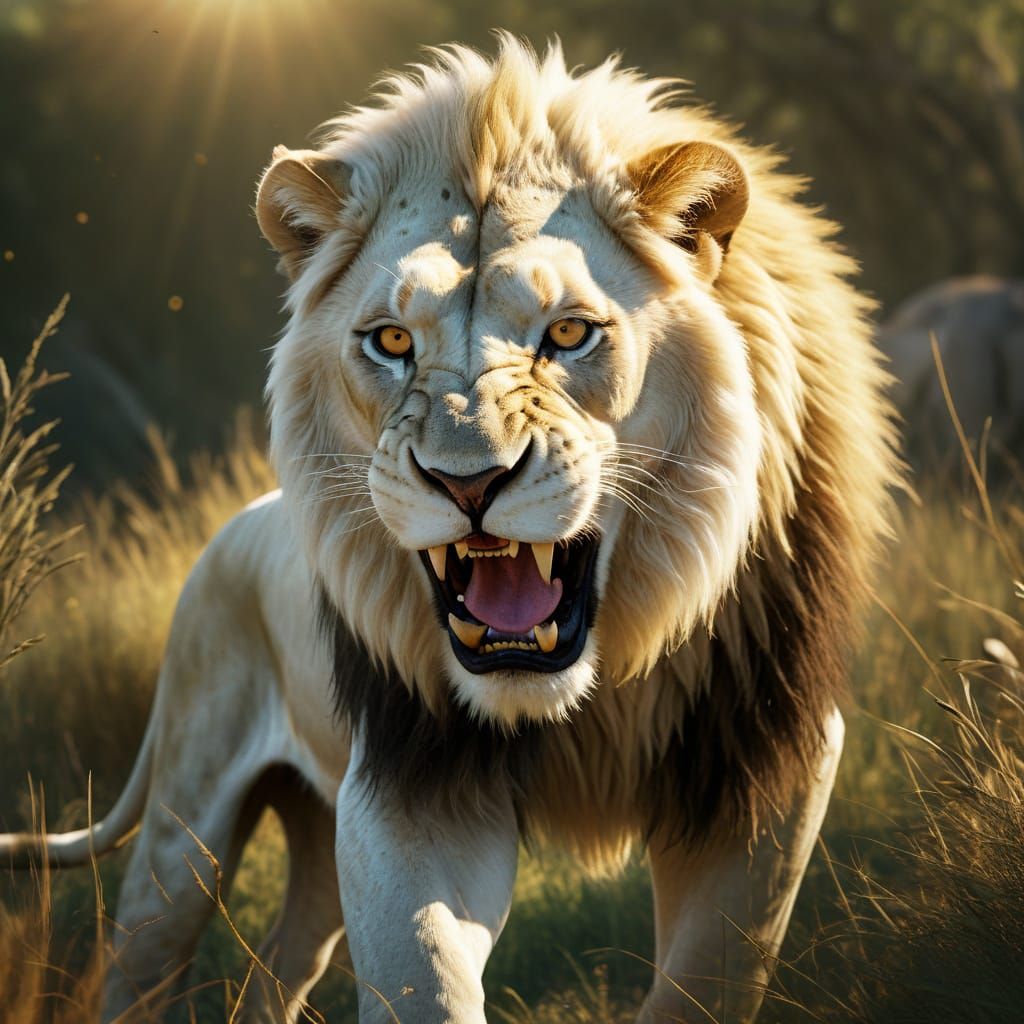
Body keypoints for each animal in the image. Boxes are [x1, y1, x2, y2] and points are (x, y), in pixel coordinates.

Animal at [1, 37, 898, 1024]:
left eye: (570, 333)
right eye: (391, 341)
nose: (468, 481)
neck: (592, 693)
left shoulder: (771, 766)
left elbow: (705, 980)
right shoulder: (408, 783)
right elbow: (422, 974)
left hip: (311, 838)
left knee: (275, 972)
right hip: (182, 831)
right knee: (138, 964)